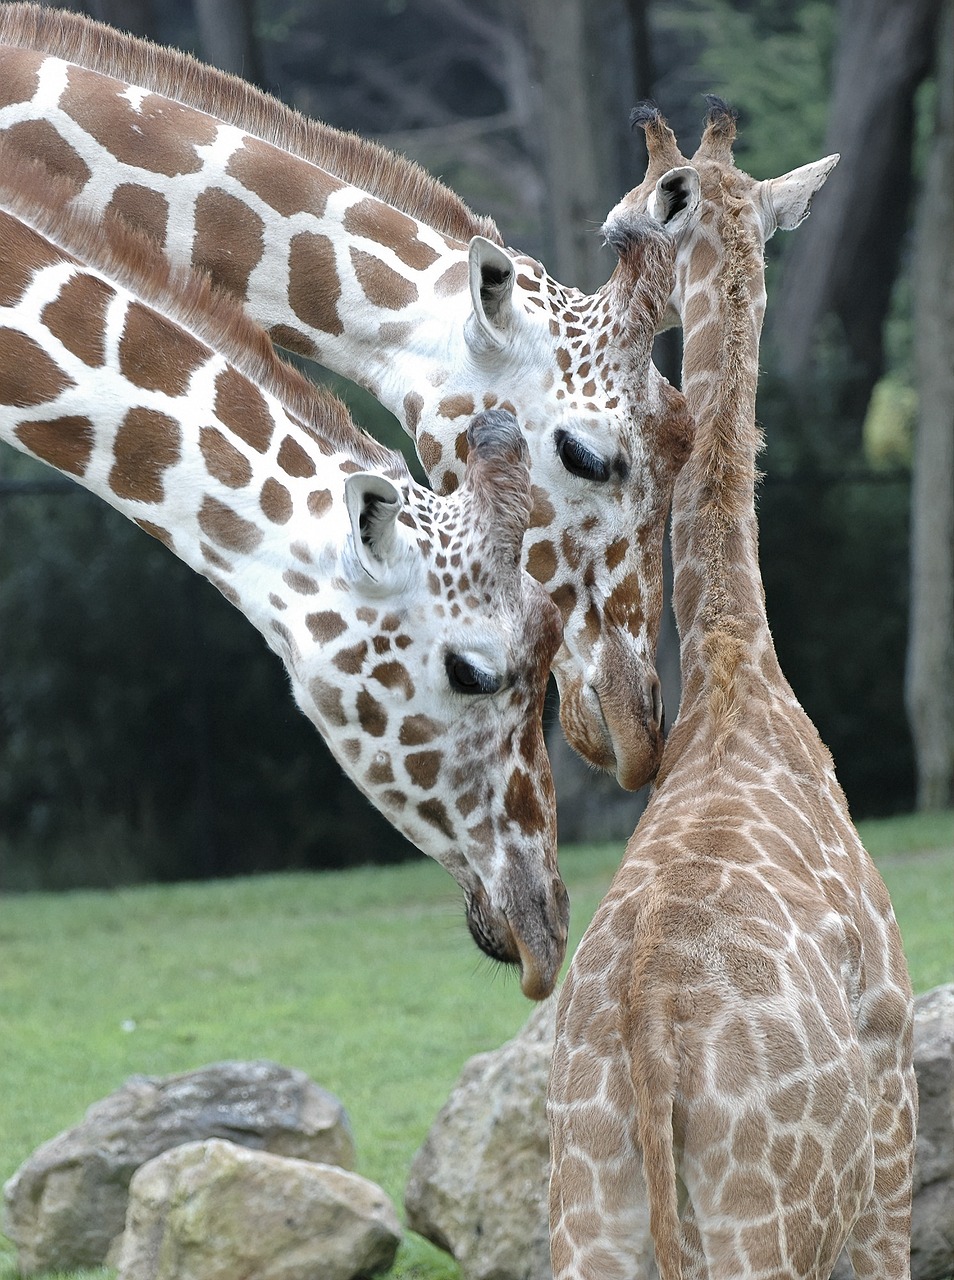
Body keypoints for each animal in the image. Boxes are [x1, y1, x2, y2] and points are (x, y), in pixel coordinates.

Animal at [548, 102, 911, 1280]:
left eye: (622, 229)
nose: (603, 312)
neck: (734, 668)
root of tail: (651, 1048)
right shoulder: (894, 1074)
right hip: (771, 1226)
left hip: (584, 1224)